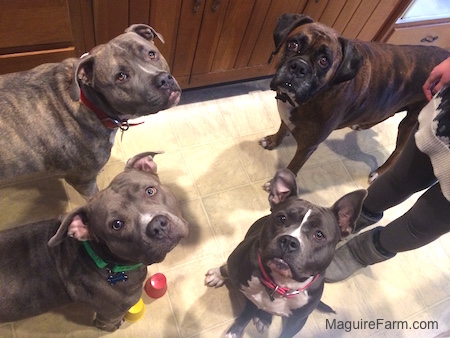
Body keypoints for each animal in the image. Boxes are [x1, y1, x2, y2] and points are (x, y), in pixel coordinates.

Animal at [0, 152, 188, 332]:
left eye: (150, 191)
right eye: (116, 225)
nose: (157, 226)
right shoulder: (109, 316)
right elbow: (108, 324)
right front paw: (117, 326)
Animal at [260, 13, 450, 182]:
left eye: (324, 61)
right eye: (293, 44)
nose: (299, 67)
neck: (317, 93)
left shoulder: (307, 147)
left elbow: (292, 167)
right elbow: (282, 128)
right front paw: (273, 141)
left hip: (411, 122)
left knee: (398, 152)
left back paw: (378, 172)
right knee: (385, 114)